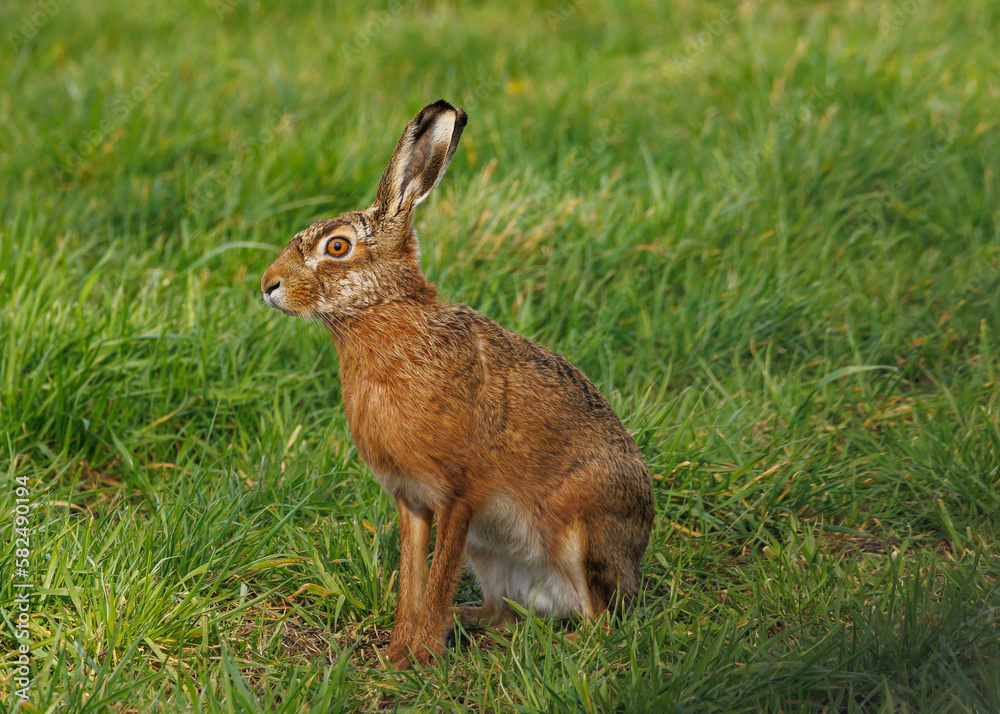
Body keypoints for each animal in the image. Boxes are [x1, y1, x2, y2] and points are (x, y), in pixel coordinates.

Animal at [261, 100, 653, 669]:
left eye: (337, 247)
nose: (268, 285)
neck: (381, 318)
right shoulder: (411, 500)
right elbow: (413, 580)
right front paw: (397, 653)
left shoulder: (459, 495)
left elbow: (436, 578)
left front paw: (420, 657)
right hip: (490, 554)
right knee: (504, 612)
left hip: (584, 529)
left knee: (600, 623)